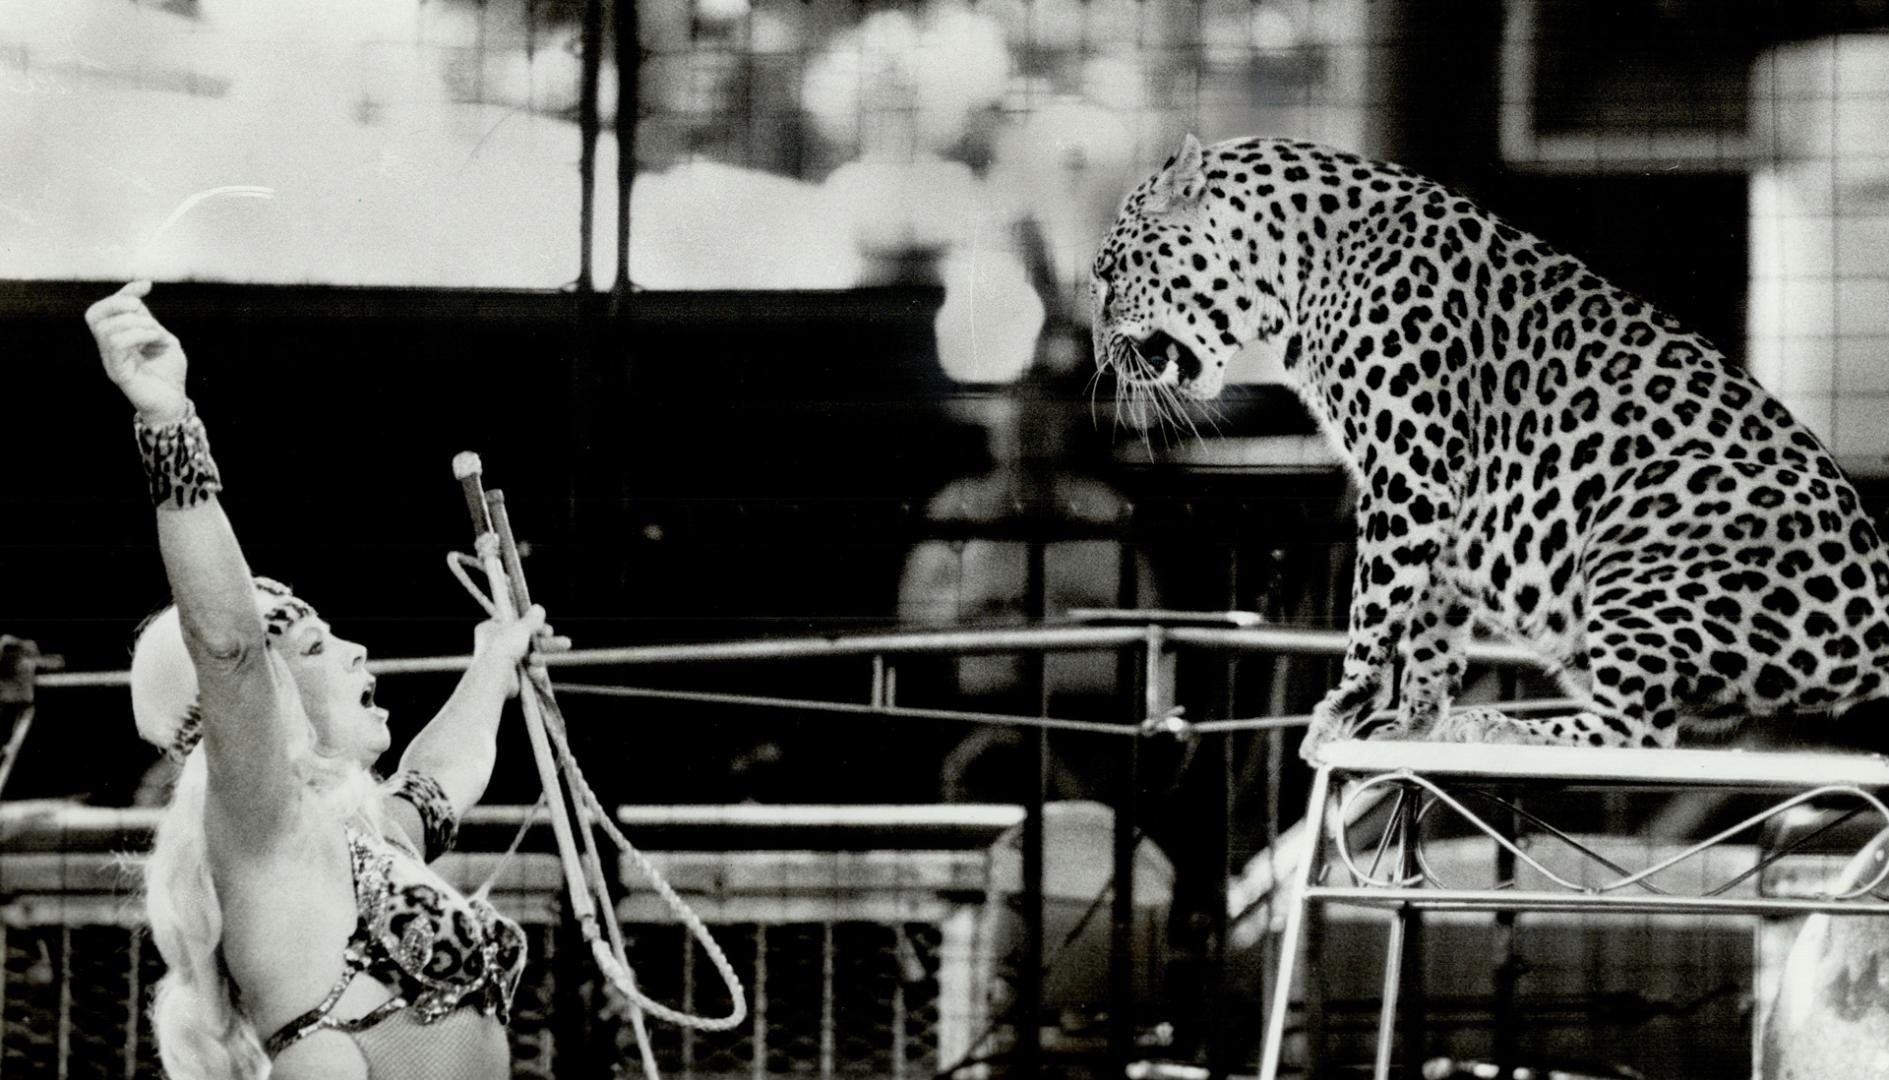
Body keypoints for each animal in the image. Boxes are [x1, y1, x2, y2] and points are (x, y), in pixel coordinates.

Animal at [1088, 135, 1889, 759]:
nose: (1099, 354)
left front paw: (1341, 707)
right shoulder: (1429, 502)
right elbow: (1428, 625)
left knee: (1636, 732)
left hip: (1650, 514)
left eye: (1107, 275)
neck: (1298, 270)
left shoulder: (1409, 472)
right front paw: (1412, 721)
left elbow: (1373, 607)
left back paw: (1496, 726)